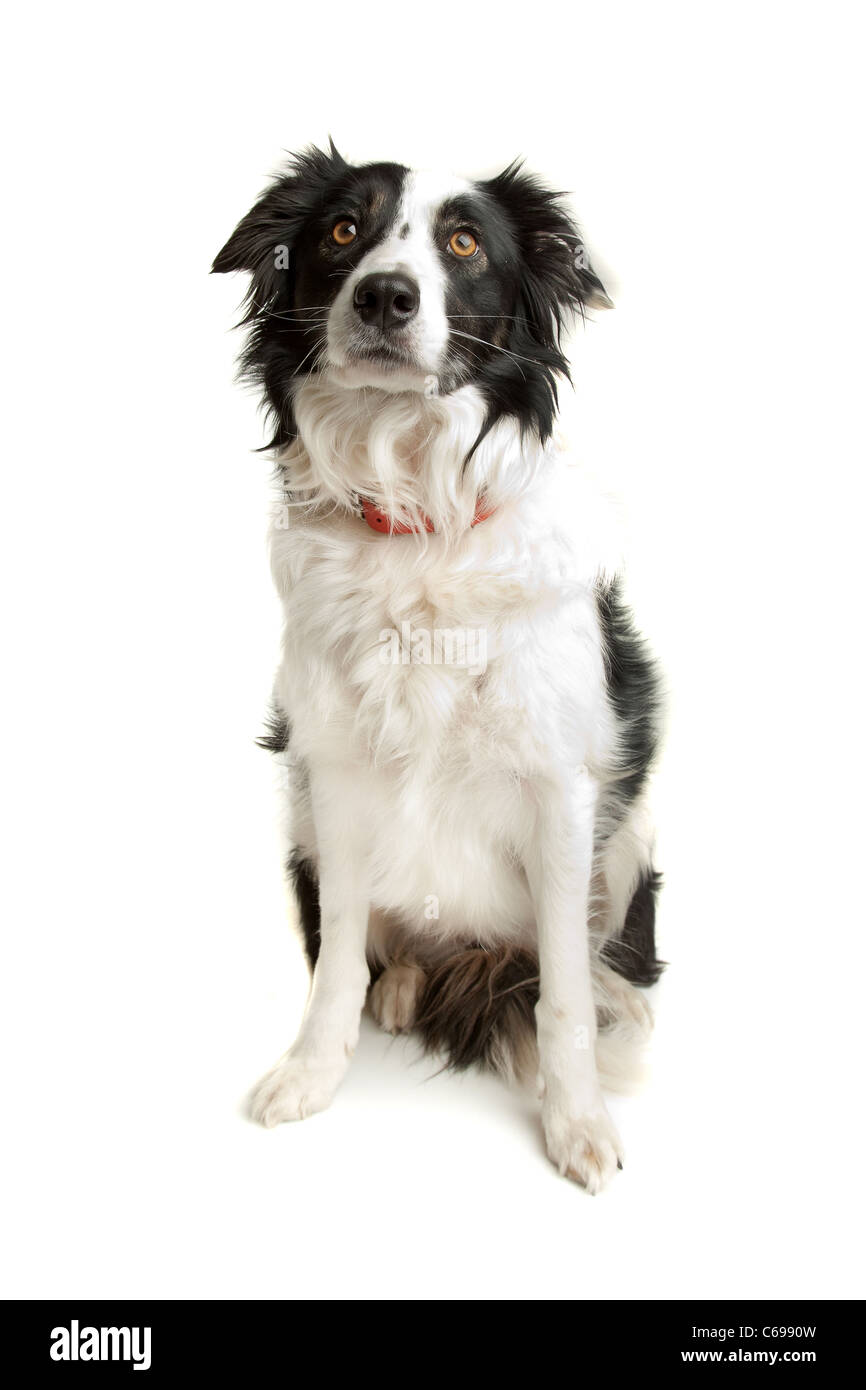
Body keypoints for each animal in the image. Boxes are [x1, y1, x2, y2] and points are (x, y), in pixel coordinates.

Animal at [214, 143, 661, 1195]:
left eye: (463, 244)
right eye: (343, 230)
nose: (385, 295)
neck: (418, 520)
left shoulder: (562, 788)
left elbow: (564, 991)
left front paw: (577, 1122)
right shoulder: (331, 770)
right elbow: (338, 954)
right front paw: (313, 1071)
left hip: (629, 840)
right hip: (299, 827)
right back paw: (405, 988)